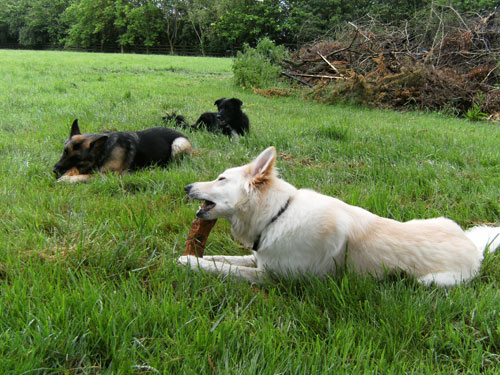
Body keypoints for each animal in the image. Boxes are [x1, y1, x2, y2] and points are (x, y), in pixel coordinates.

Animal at [51, 117, 190, 182]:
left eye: (77, 157)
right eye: (65, 151)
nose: (54, 170)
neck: (104, 151)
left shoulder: (106, 176)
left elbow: (83, 176)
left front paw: (65, 179)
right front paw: (67, 174)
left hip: (178, 143)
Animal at [178, 147, 498, 288]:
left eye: (221, 178)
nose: (186, 187)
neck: (278, 215)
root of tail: (475, 249)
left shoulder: (272, 277)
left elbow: (224, 269)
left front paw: (188, 262)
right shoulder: (260, 258)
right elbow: (223, 259)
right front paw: (195, 256)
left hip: (431, 282)